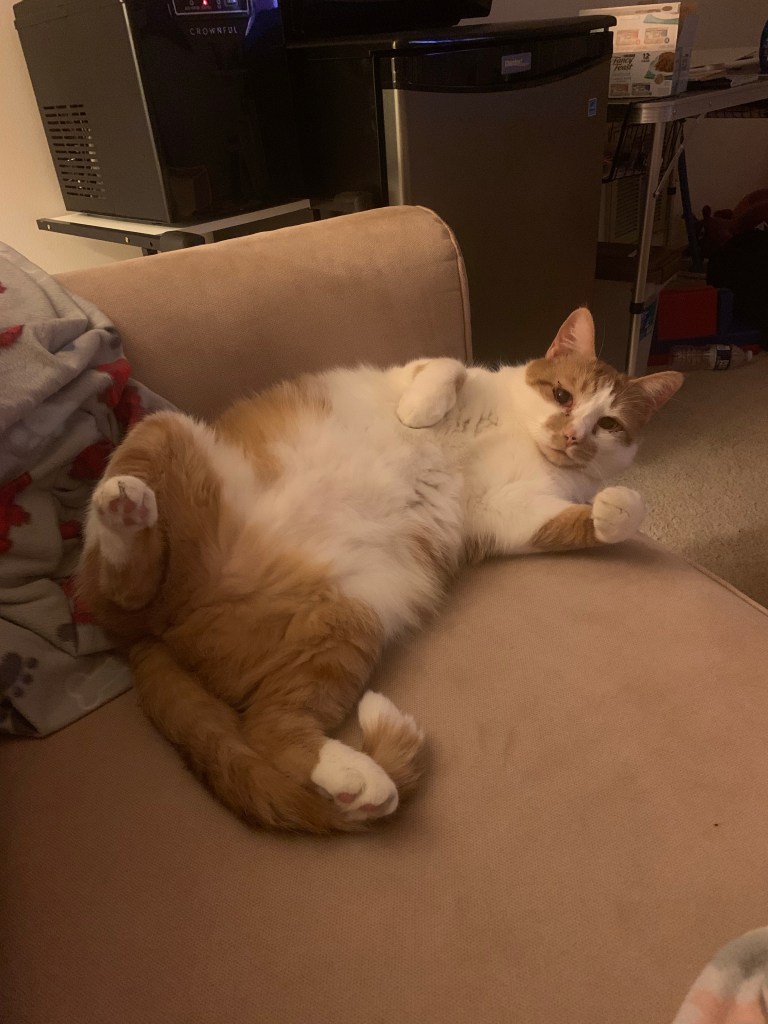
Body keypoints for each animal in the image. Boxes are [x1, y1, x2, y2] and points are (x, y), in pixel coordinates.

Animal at [77, 307, 682, 833]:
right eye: (562, 395)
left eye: (608, 423)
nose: (573, 435)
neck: (516, 435)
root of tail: (156, 637)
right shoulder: (420, 372)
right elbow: (445, 366)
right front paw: (418, 413)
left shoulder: (513, 514)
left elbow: (596, 517)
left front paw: (616, 507)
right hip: (161, 432)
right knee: (112, 592)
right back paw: (124, 508)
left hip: (347, 619)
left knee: (271, 727)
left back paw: (359, 781)